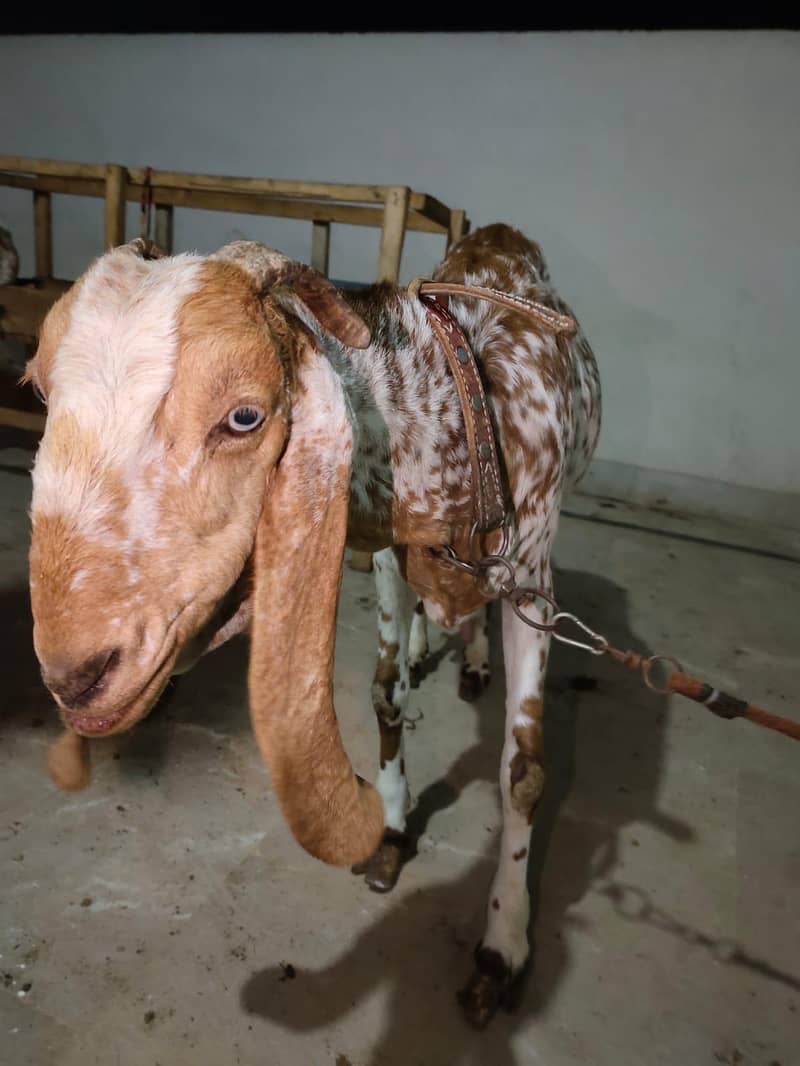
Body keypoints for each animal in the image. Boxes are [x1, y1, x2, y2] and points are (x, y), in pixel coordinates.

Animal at [24, 223, 600, 1028]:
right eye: (38, 391)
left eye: (244, 416)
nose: (75, 677)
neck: (459, 405)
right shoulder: (391, 547)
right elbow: (387, 693)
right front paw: (392, 831)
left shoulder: (535, 582)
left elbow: (522, 773)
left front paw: (502, 947)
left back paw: (475, 657)